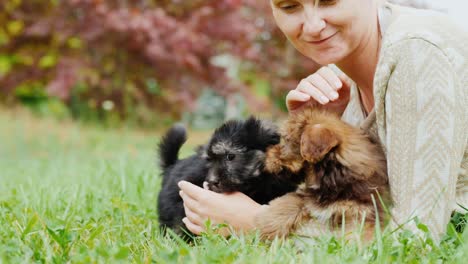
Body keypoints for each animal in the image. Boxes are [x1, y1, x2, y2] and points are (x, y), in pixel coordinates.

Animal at [254, 109, 390, 241]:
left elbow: (360, 232)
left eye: (287, 140)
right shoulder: (306, 197)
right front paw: (265, 230)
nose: (267, 155)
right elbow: (287, 205)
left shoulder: (364, 211)